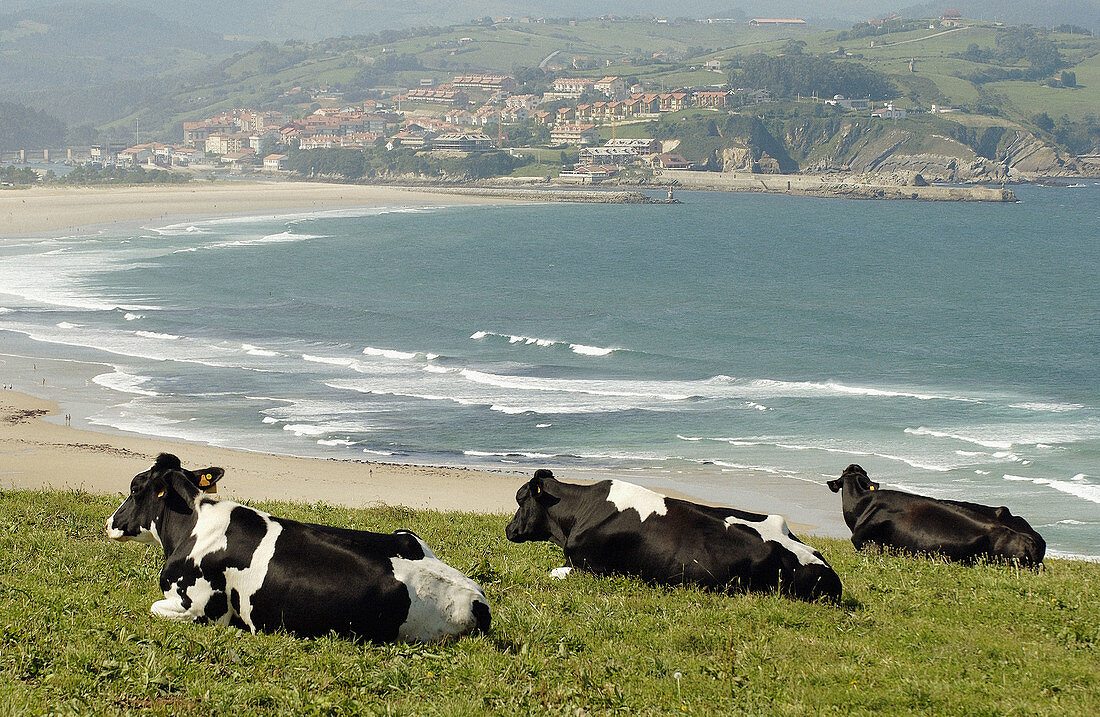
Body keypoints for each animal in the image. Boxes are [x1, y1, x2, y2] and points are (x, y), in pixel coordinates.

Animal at [103, 450, 490, 642]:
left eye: (135, 488)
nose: (109, 523)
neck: (194, 527)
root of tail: (476, 598)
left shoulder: (201, 609)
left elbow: (155, 607)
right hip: (406, 534)